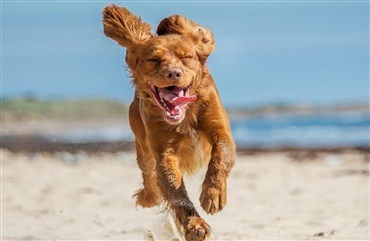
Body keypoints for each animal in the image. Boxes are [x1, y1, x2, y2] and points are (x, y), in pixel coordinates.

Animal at [102, 4, 234, 241]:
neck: (185, 114)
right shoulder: (164, 153)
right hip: (142, 147)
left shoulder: (220, 131)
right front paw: (194, 225)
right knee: (150, 179)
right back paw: (148, 197)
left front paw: (213, 193)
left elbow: (222, 156)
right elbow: (175, 191)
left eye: (186, 57)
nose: (173, 73)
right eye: (154, 59)